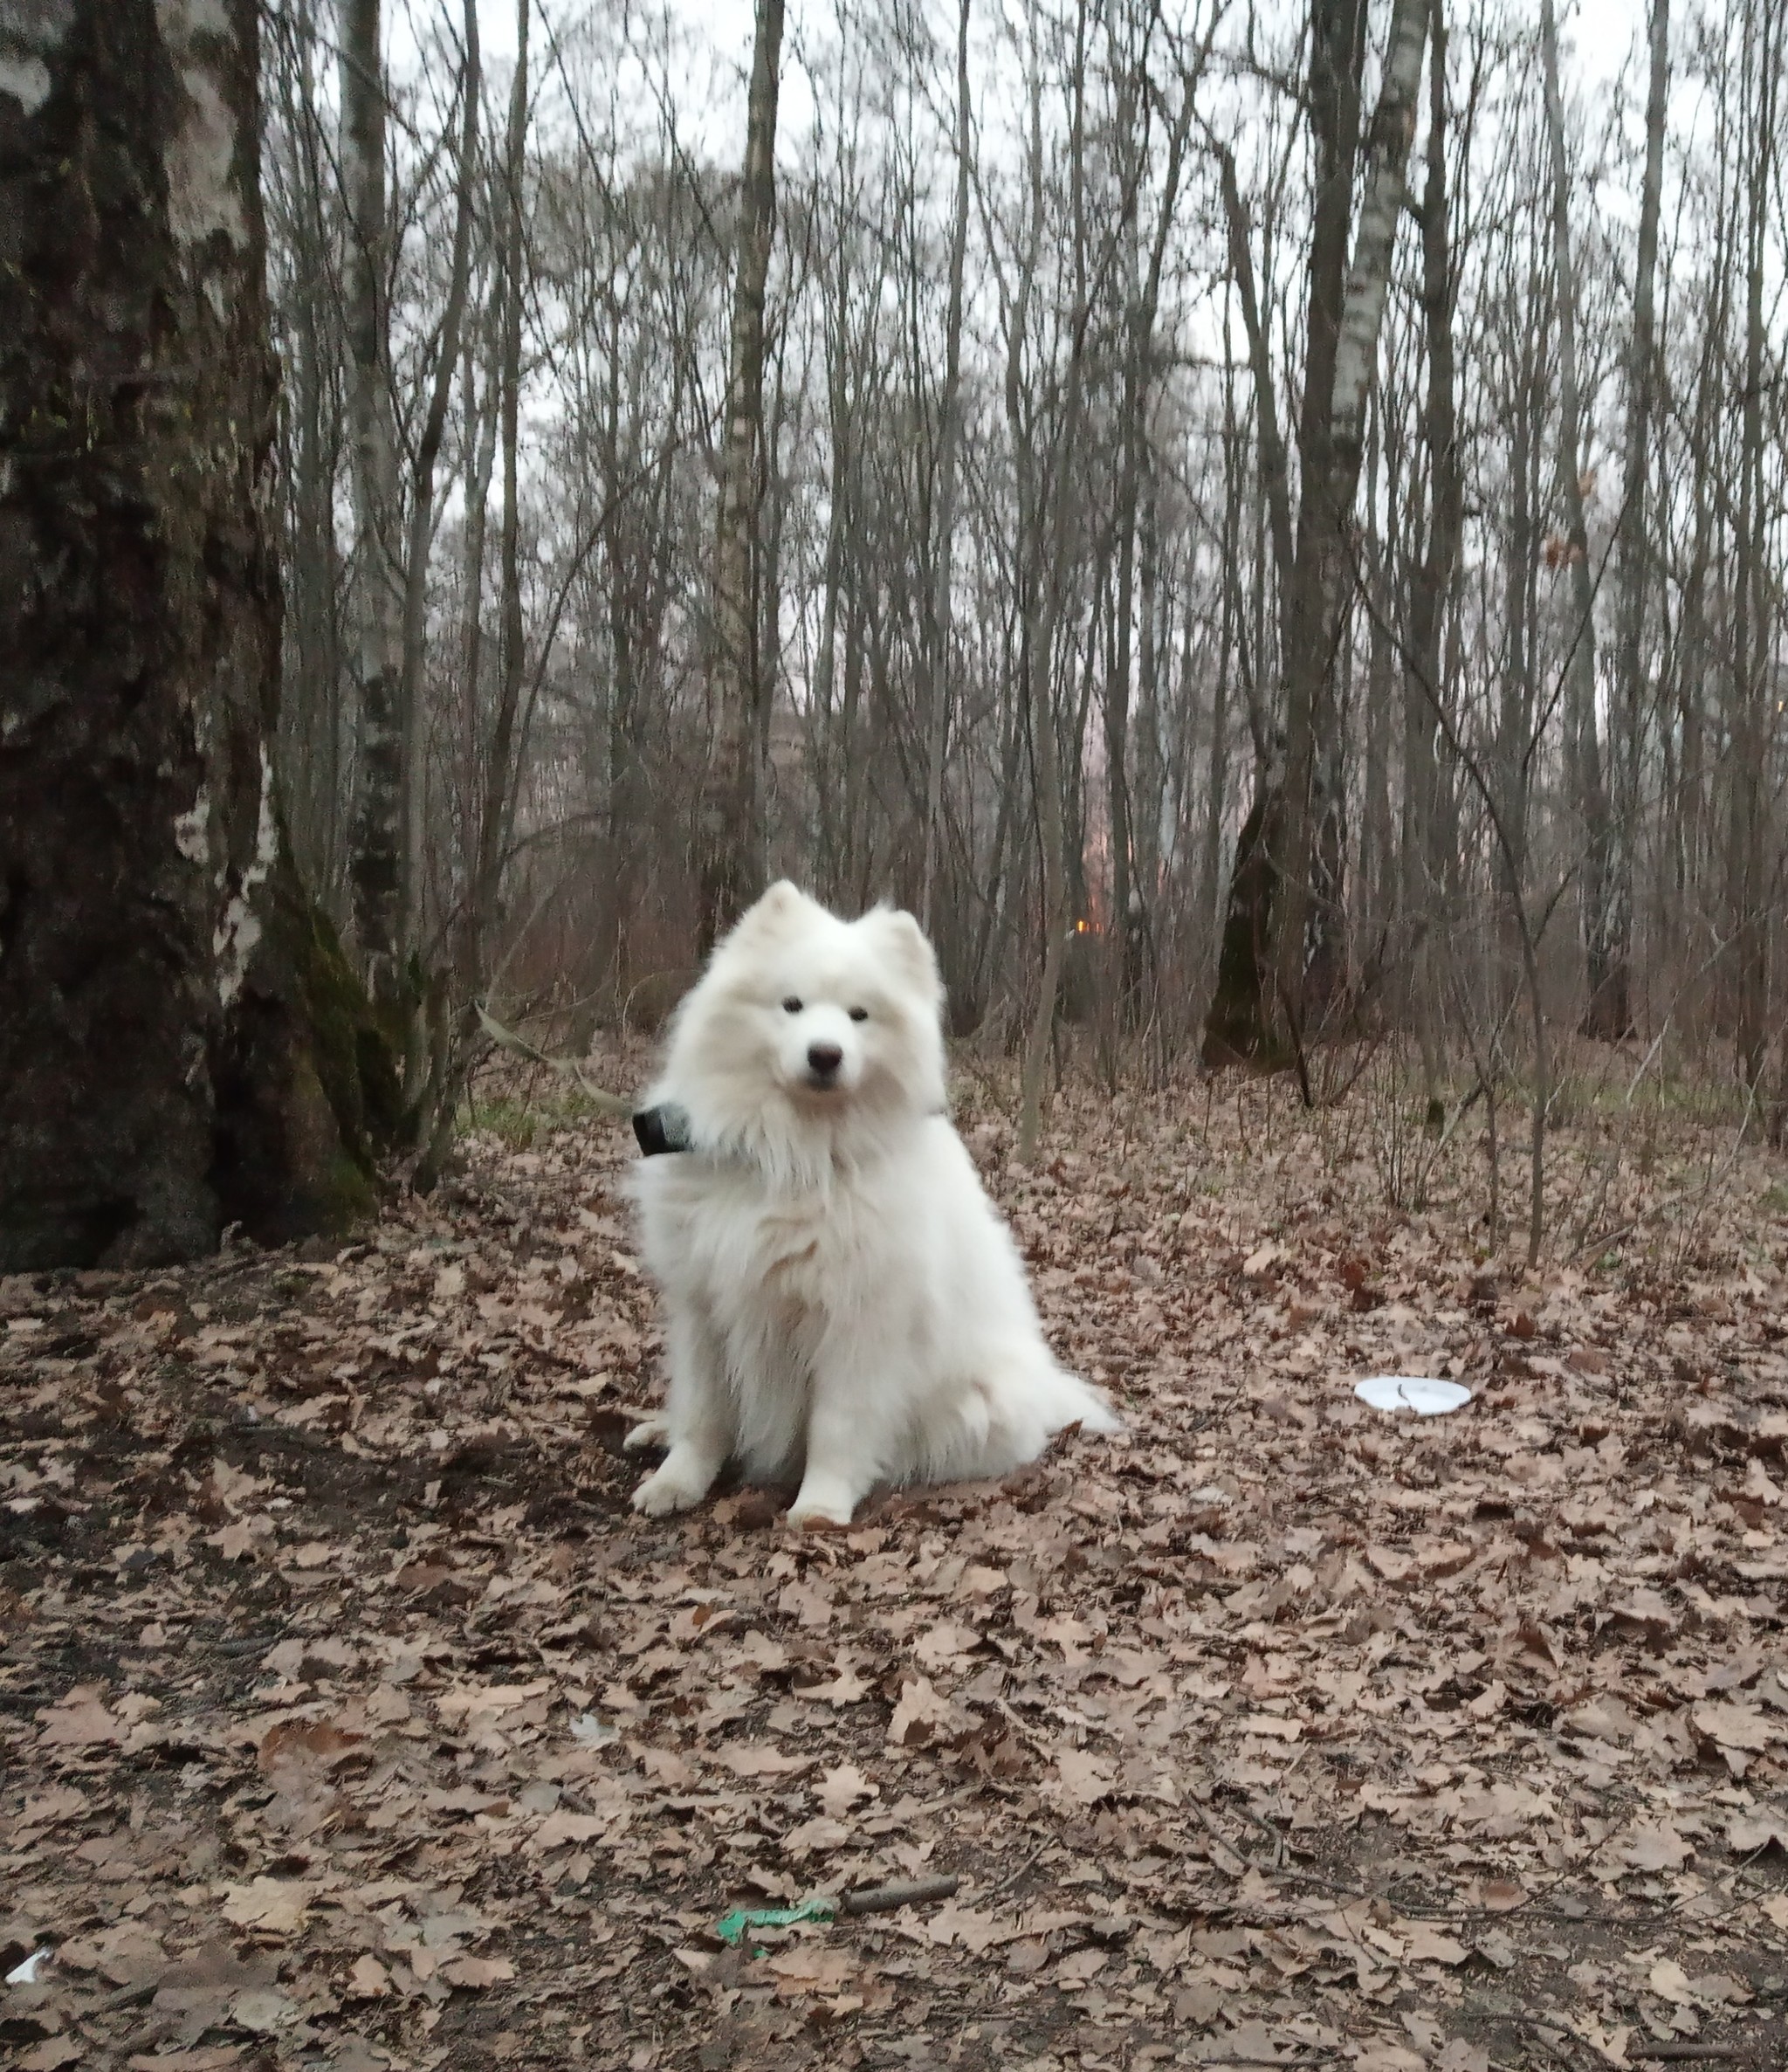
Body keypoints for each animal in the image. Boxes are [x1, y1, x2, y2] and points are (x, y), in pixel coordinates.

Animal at [629, 882, 1118, 1533]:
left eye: (859, 1015)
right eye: (792, 1005)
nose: (825, 1054)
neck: (797, 1152)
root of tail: (1044, 1391)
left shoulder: (858, 1321)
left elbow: (837, 1425)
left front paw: (819, 1507)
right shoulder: (704, 1306)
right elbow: (703, 1413)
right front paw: (676, 1482)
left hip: (970, 1406)